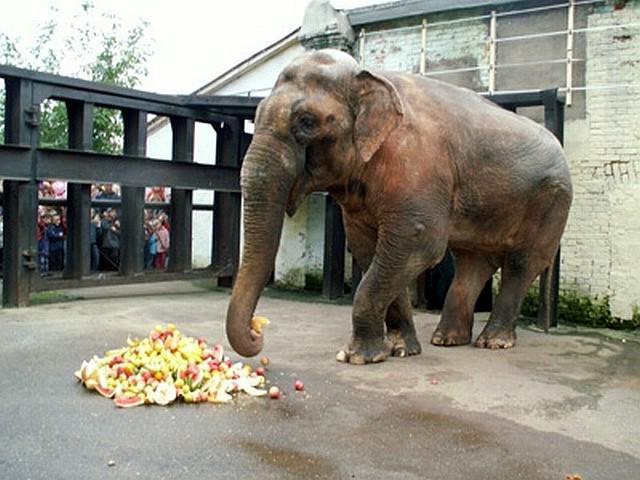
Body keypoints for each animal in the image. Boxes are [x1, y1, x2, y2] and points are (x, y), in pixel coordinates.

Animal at [224, 47, 568, 364]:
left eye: (306, 122)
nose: (258, 332)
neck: (368, 75)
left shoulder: (417, 167)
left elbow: (418, 245)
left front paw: (357, 357)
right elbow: (369, 248)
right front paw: (400, 350)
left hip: (553, 200)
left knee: (522, 262)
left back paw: (493, 342)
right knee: (471, 262)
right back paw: (447, 340)